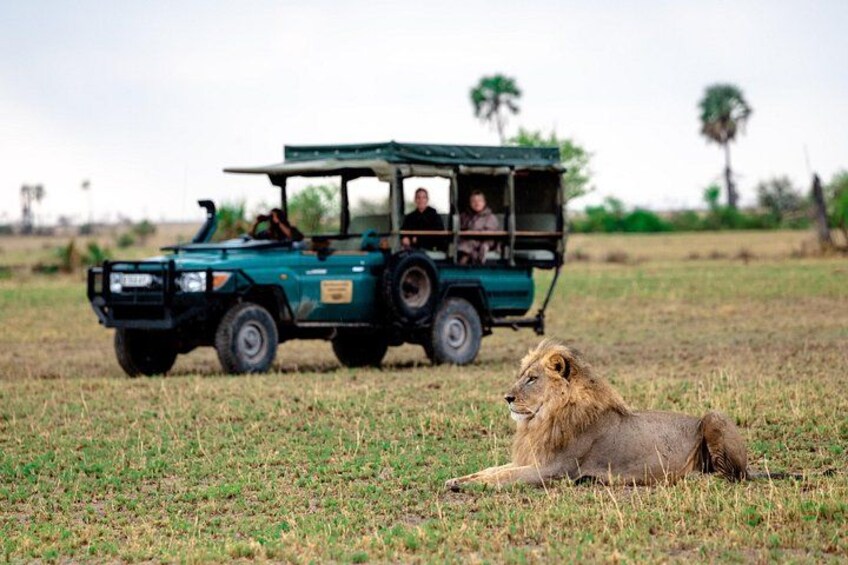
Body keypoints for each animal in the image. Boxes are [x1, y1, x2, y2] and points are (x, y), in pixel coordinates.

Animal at [445, 339, 749, 489]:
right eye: (521, 376)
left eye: (532, 379)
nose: (507, 398)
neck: (544, 419)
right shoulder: (533, 458)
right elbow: (493, 469)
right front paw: (457, 480)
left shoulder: (554, 469)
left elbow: (503, 478)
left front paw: (469, 486)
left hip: (713, 416)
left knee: (731, 475)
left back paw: (694, 477)